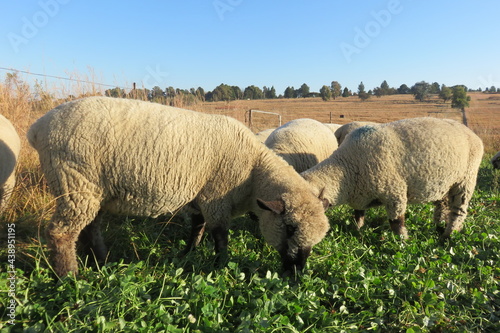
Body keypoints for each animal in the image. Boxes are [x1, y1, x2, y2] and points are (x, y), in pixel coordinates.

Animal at [28, 95, 332, 274]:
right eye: (290, 227)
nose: (297, 274)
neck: (254, 172)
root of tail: (38, 127)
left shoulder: (200, 196)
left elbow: (197, 228)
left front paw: (187, 254)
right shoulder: (215, 197)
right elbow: (220, 236)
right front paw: (220, 266)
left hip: (91, 190)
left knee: (90, 227)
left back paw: (101, 262)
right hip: (74, 181)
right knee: (61, 233)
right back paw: (70, 278)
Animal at [300, 116, 484, 239]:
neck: (347, 168)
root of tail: (471, 133)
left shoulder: (394, 192)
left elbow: (397, 222)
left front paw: (403, 241)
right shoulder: (360, 195)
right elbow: (358, 215)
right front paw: (357, 229)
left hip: (465, 180)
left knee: (458, 210)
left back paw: (448, 235)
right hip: (444, 183)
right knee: (443, 205)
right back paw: (438, 226)